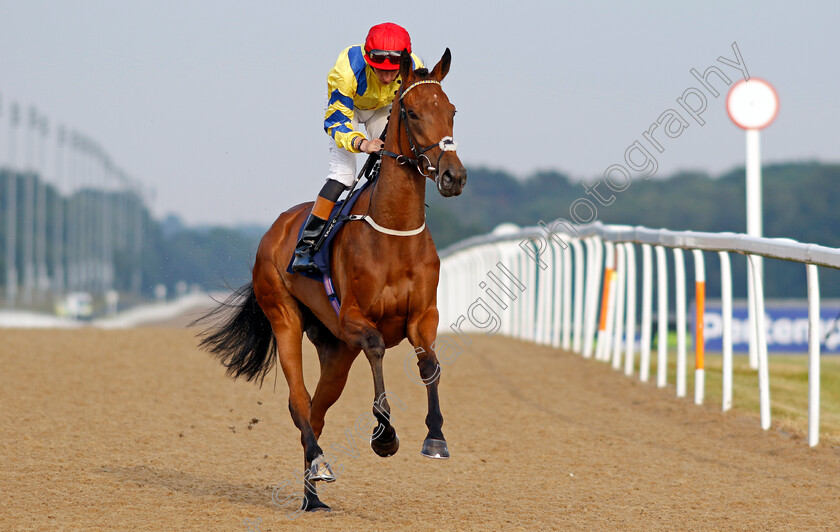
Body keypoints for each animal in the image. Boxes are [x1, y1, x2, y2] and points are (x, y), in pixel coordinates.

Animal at [197, 48, 466, 512]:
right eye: (412, 113)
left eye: (450, 111)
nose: (453, 176)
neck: (393, 234)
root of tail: (276, 229)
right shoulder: (355, 319)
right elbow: (376, 345)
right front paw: (384, 435)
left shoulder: (422, 317)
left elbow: (430, 364)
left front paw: (435, 437)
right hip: (286, 317)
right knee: (299, 402)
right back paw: (319, 468)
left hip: (336, 349)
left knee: (317, 409)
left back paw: (312, 496)